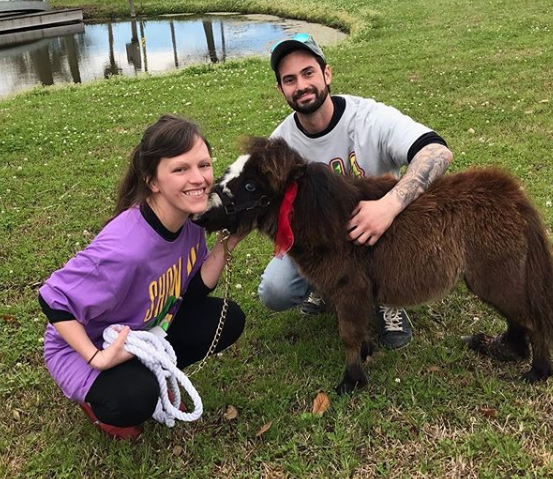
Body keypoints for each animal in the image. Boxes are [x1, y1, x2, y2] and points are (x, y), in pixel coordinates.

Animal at [194, 136, 552, 394]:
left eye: (251, 186)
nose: (201, 215)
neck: (329, 220)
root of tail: (513, 197)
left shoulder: (350, 287)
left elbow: (348, 335)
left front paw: (352, 381)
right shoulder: (353, 292)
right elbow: (358, 330)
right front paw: (366, 354)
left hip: (494, 274)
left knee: (533, 319)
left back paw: (537, 371)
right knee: (518, 316)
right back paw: (503, 350)